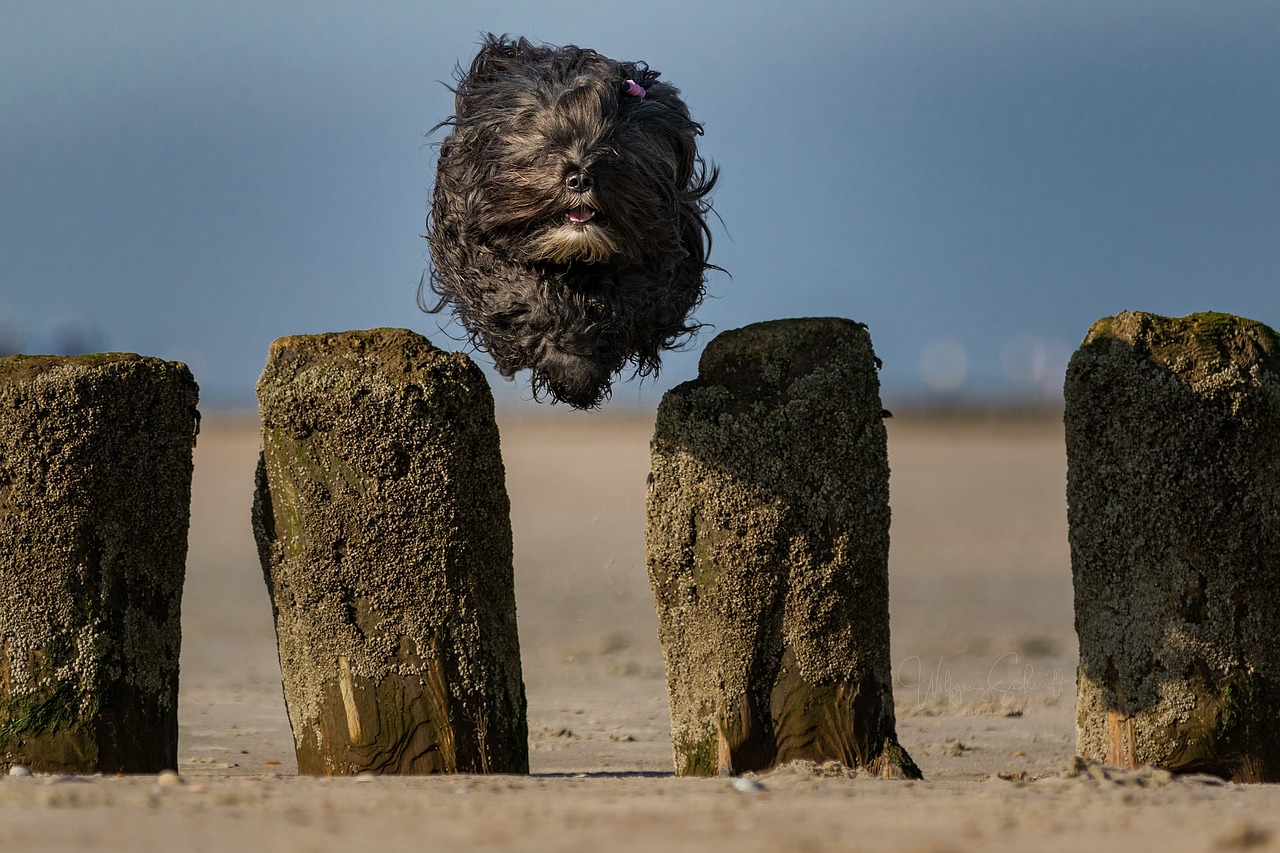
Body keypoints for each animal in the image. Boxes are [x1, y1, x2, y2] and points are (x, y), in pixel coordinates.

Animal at [424, 33, 716, 404]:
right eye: (549, 143)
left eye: (611, 146)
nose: (579, 177)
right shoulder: (470, 243)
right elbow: (516, 287)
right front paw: (569, 361)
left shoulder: (669, 249)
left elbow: (634, 291)